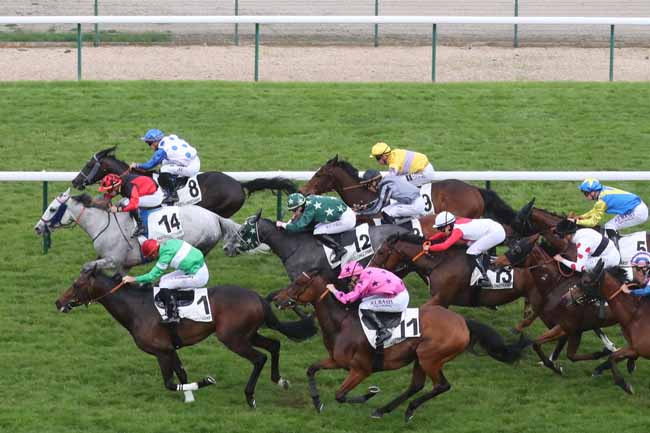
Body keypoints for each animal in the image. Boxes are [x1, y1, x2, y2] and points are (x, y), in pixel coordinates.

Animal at [35, 187, 239, 272]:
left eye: (52, 209)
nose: (38, 227)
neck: (102, 225)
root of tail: (215, 217)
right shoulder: (122, 265)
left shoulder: (113, 260)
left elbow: (87, 266)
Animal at [55, 266, 316, 404]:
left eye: (76, 285)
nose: (58, 302)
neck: (136, 307)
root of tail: (258, 297)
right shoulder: (170, 349)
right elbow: (181, 373)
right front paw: (190, 395)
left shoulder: (161, 351)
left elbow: (170, 382)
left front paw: (205, 382)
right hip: (248, 334)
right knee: (274, 345)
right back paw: (280, 380)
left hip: (232, 338)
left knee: (259, 358)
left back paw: (250, 396)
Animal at [270, 272, 528, 420]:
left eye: (299, 283)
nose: (277, 298)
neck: (342, 324)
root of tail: (462, 322)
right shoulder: (336, 360)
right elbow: (311, 369)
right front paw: (316, 401)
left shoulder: (361, 369)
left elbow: (341, 395)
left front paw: (369, 394)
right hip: (419, 358)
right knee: (417, 385)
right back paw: (385, 410)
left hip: (429, 356)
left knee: (441, 385)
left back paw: (406, 409)